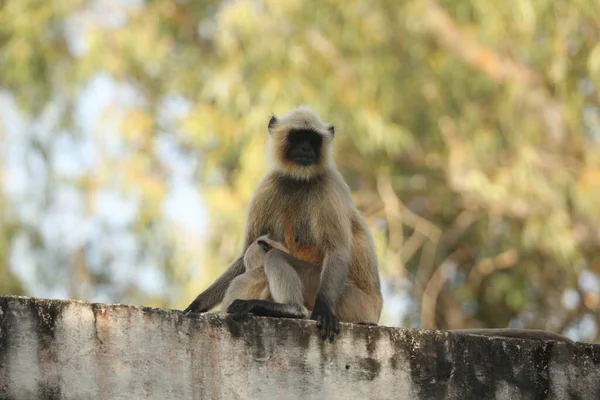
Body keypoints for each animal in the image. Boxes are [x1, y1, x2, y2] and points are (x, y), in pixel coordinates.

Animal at [185, 106, 384, 340]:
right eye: (298, 137)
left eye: (313, 139)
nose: (306, 147)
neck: (299, 180)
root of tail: (374, 310)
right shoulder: (268, 185)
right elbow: (244, 254)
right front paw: (199, 303)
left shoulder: (329, 186)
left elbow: (337, 251)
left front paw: (324, 310)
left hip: (351, 299)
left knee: (276, 256)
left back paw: (290, 310)